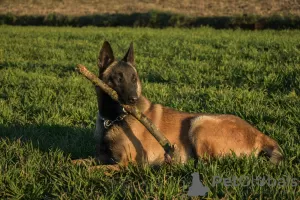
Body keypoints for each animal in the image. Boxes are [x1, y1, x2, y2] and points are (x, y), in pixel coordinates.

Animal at [91, 41, 284, 169]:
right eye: (118, 78)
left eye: (133, 79)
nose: (133, 99)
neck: (113, 118)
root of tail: (259, 134)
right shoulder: (102, 157)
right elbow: (84, 162)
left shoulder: (124, 163)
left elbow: (94, 169)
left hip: (199, 123)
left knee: (207, 163)